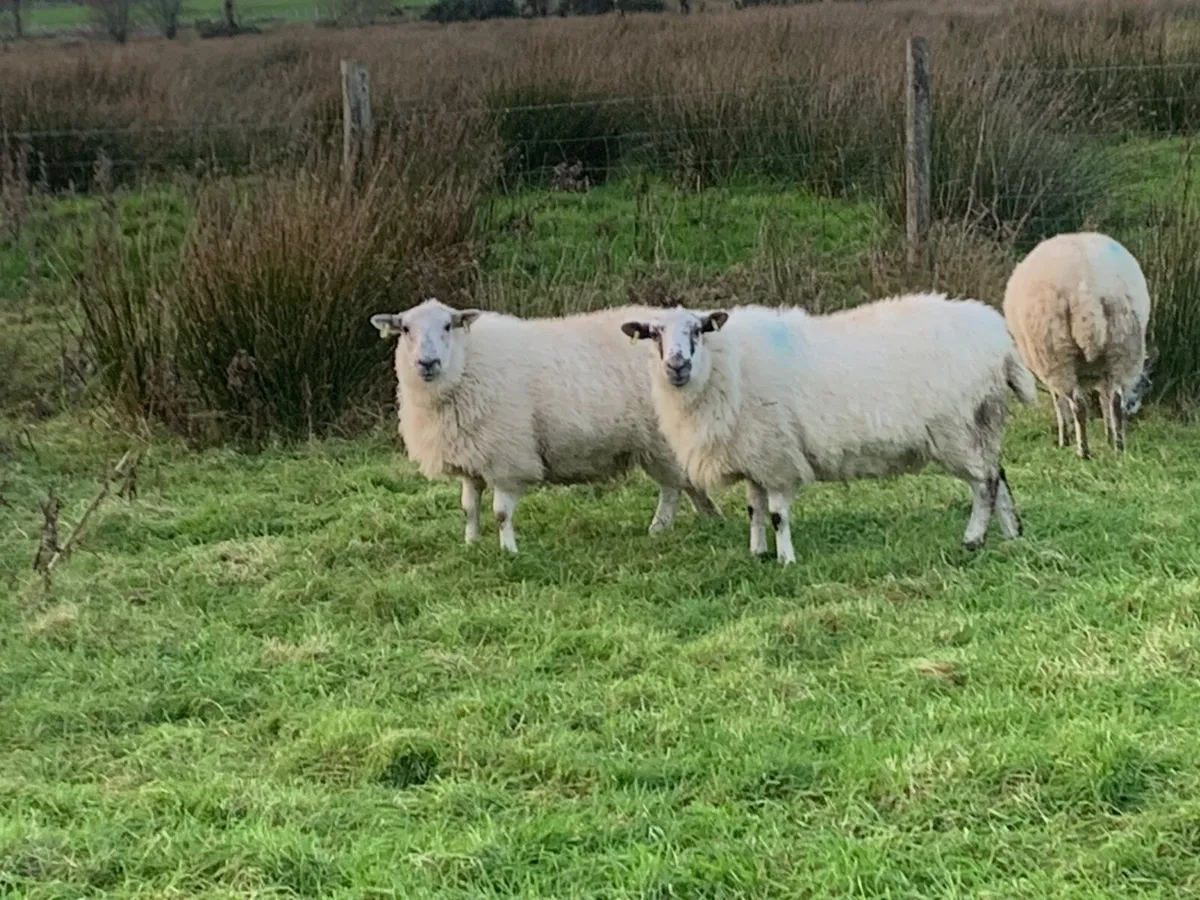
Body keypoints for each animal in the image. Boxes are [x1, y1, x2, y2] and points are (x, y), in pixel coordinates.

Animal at [369, 298, 721, 553]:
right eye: (405, 329)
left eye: (447, 325)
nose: (427, 363)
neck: (466, 362)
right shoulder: (472, 456)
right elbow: (469, 508)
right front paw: (471, 544)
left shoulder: (507, 457)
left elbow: (500, 512)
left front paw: (509, 552)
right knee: (682, 483)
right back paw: (707, 518)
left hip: (660, 440)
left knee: (673, 487)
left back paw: (660, 527)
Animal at [620, 293, 1036, 564]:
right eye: (654, 334)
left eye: (698, 331)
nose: (676, 365)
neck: (725, 366)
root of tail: (1000, 339)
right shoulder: (756, 456)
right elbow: (754, 509)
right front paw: (757, 553)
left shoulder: (777, 458)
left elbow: (777, 514)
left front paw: (786, 560)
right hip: (985, 421)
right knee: (998, 475)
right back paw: (1012, 533)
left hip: (959, 428)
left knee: (984, 483)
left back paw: (973, 538)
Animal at [1002, 231, 1153, 459]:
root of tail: (1087, 291)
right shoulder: (1102, 372)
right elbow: (1104, 399)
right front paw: (1109, 436)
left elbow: (1059, 402)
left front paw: (1064, 439)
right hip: (1123, 345)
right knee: (1116, 400)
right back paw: (1118, 447)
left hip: (1056, 354)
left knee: (1078, 404)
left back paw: (1083, 451)